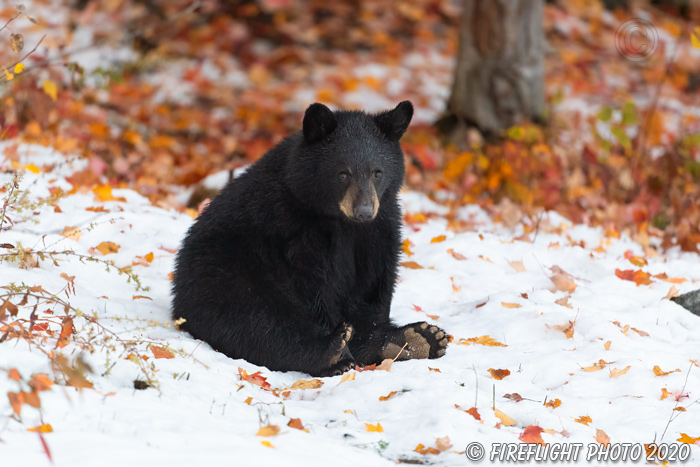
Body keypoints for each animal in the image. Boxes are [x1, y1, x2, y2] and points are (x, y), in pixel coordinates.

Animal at [171, 102, 448, 376]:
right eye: (343, 174)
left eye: (377, 172)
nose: (364, 211)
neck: (340, 221)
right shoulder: (293, 229)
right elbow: (313, 287)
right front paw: (341, 352)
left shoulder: (380, 228)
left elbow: (374, 284)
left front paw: (393, 339)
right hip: (226, 279)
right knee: (257, 321)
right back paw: (332, 351)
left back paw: (417, 338)